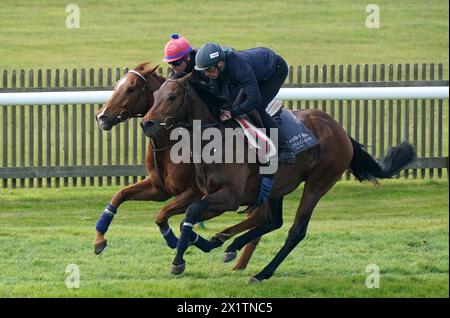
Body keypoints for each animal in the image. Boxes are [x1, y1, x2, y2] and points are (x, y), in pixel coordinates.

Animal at [95, 62, 264, 270]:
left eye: (130, 88)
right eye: (117, 84)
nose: (101, 117)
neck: (170, 142)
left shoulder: (194, 192)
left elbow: (163, 214)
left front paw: (178, 244)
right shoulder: (159, 189)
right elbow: (119, 196)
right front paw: (99, 240)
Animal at [142, 73, 416, 282]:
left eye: (172, 96)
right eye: (154, 97)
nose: (147, 124)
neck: (216, 141)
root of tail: (339, 130)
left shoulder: (229, 198)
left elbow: (189, 214)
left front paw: (178, 261)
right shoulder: (209, 195)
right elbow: (181, 217)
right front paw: (203, 241)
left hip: (318, 183)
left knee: (296, 231)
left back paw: (261, 273)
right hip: (277, 187)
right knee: (273, 221)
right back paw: (229, 245)